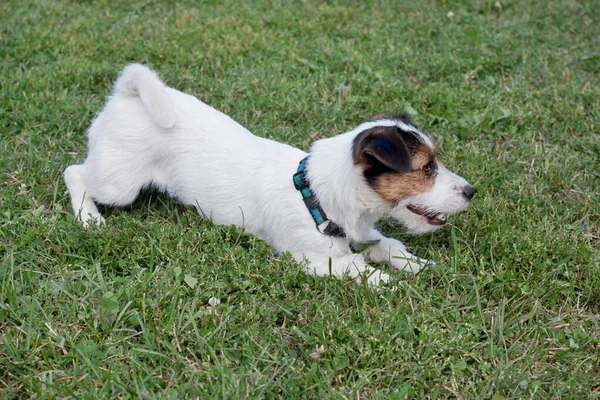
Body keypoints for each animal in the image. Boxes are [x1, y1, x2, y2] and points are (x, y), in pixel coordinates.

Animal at [64, 64, 474, 286]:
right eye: (427, 168)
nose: (471, 191)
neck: (317, 195)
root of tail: (127, 96)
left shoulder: (365, 234)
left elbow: (388, 246)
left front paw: (416, 266)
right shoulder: (315, 260)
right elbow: (363, 270)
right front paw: (397, 285)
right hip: (119, 183)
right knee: (74, 173)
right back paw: (89, 218)